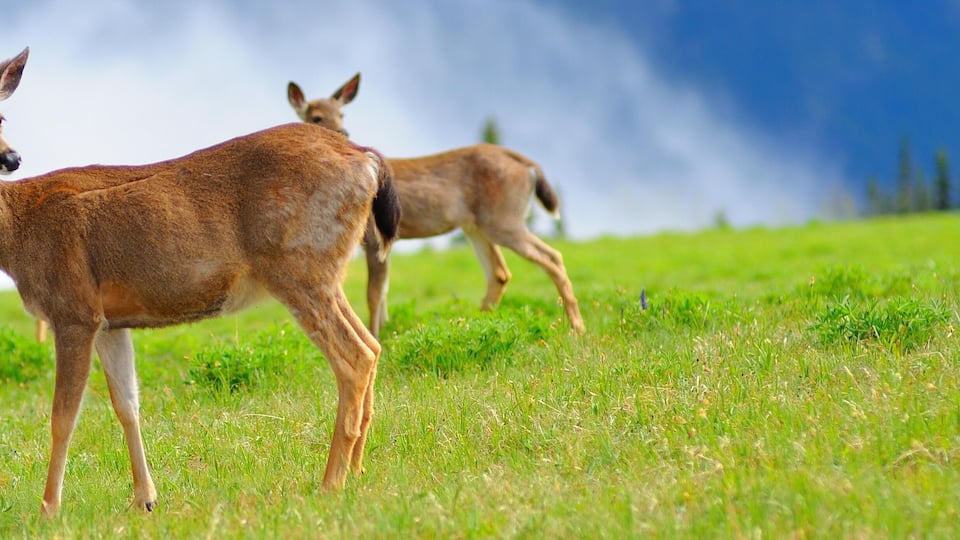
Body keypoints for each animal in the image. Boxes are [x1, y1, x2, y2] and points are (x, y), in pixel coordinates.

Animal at [2, 120, 401, 516]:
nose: (13, 158)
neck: (19, 230)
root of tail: (366, 159)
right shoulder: (109, 323)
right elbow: (127, 404)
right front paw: (145, 498)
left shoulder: (73, 310)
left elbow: (62, 417)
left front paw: (48, 509)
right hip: (325, 274)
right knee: (372, 344)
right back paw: (356, 470)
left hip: (300, 266)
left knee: (354, 356)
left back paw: (330, 483)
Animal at [287, 75, 585, 338]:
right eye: (316, 117)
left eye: (342, 114)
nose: (343, 132)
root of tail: (524, 161)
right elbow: (383, 295)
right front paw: (386, 333)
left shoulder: (373, 237)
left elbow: (373, 294)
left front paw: (376, 336)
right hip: (477, 226)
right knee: (500, 273)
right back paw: (476, 323)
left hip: (503, 219)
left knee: (552, 257)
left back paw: (576, 328)